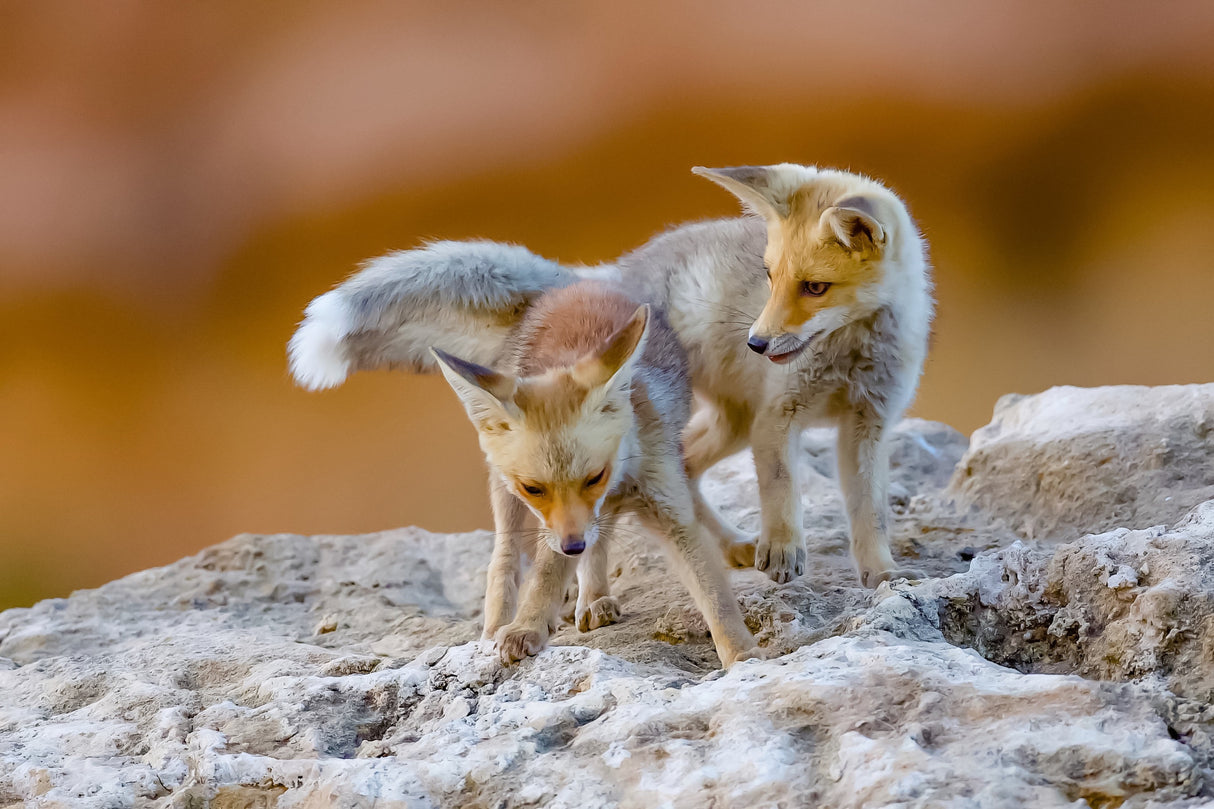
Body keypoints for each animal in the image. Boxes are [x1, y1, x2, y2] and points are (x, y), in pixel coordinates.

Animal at [288, 163, 932, 589]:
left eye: (815, 287)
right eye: (770, 276)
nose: (757, 341)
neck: (850, 355)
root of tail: (607, 273)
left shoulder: (869, 424)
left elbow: (870, 511)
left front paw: (882, 574)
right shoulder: (779, 418)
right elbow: (780, 491)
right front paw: (783, 550)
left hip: (725, 424)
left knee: (684, 472)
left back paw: (725, 548)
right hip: (718, 421)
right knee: (669, 479)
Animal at [290, 277, 760, 667]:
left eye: (594, 477)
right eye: (534, 488)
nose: (573, 545)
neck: (620, 477)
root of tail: (578, 283)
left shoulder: (663, 503)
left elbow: (713, 593)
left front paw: (742, 656)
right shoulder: (553, 522)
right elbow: (546, 573)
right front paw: (527, 626)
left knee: (601, 539)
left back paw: (595, 595)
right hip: (504, 496)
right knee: (506, 560)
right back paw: (500, 625)